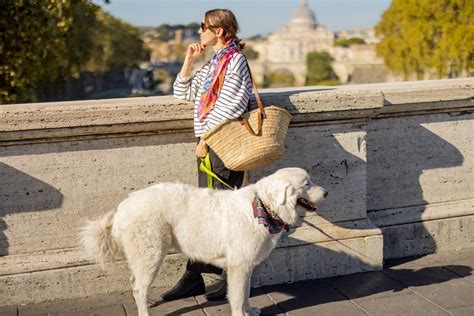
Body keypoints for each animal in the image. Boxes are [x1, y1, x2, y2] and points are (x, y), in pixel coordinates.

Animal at [80, 167, 326, 314]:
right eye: (307, 183)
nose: (326, 193)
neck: (263, 207)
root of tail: (123, 205)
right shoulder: (239, 266)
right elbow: (237, 297)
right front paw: (241, 314)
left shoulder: (245, 266)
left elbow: (245, 293)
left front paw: (250, 311)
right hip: (151, 254)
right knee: (139, 287)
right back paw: (145, 311)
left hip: (142, 256)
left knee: (134, 283)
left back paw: (147, 302)